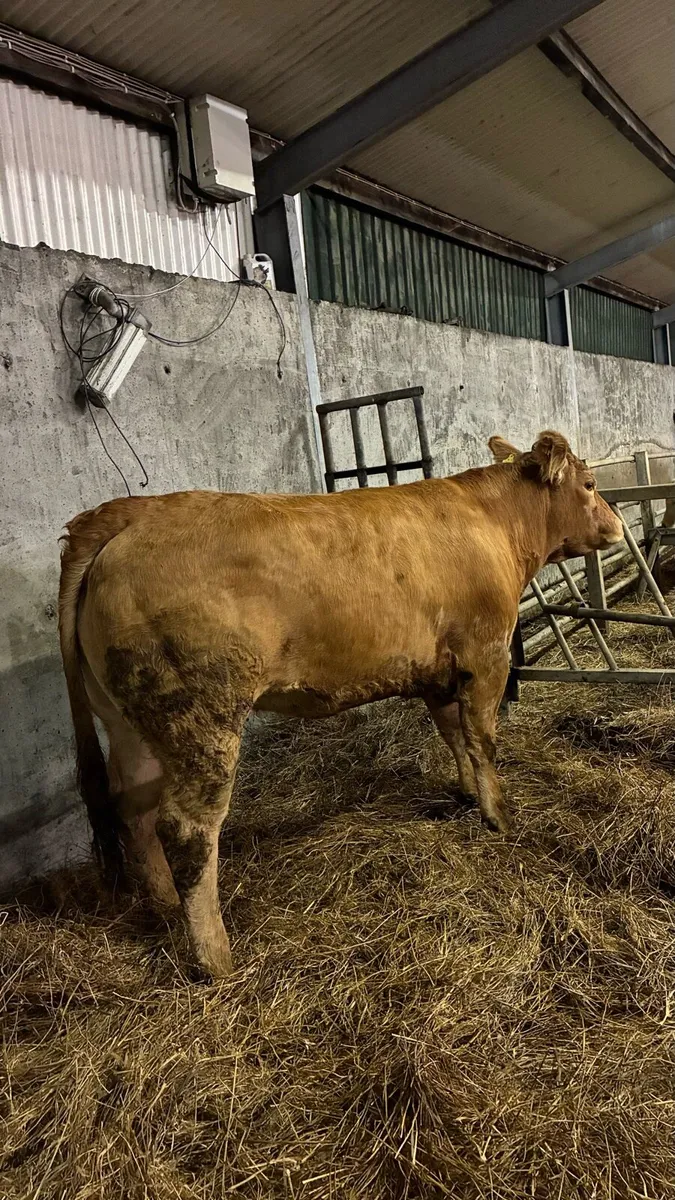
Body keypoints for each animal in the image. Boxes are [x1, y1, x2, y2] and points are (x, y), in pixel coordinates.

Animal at [58, 430, 622, 978]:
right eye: (591, 484)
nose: (617, 525)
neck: (492, 522)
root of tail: (128, 513)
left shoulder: (437, 671)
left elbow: (453, 734)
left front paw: (465, 793)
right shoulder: (485, 656)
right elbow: (482, 739)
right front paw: (498, 816)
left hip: (131, 722)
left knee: (133, 806)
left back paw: (163, 903)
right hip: (201, 718)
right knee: (187, 828)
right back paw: (215, 958)